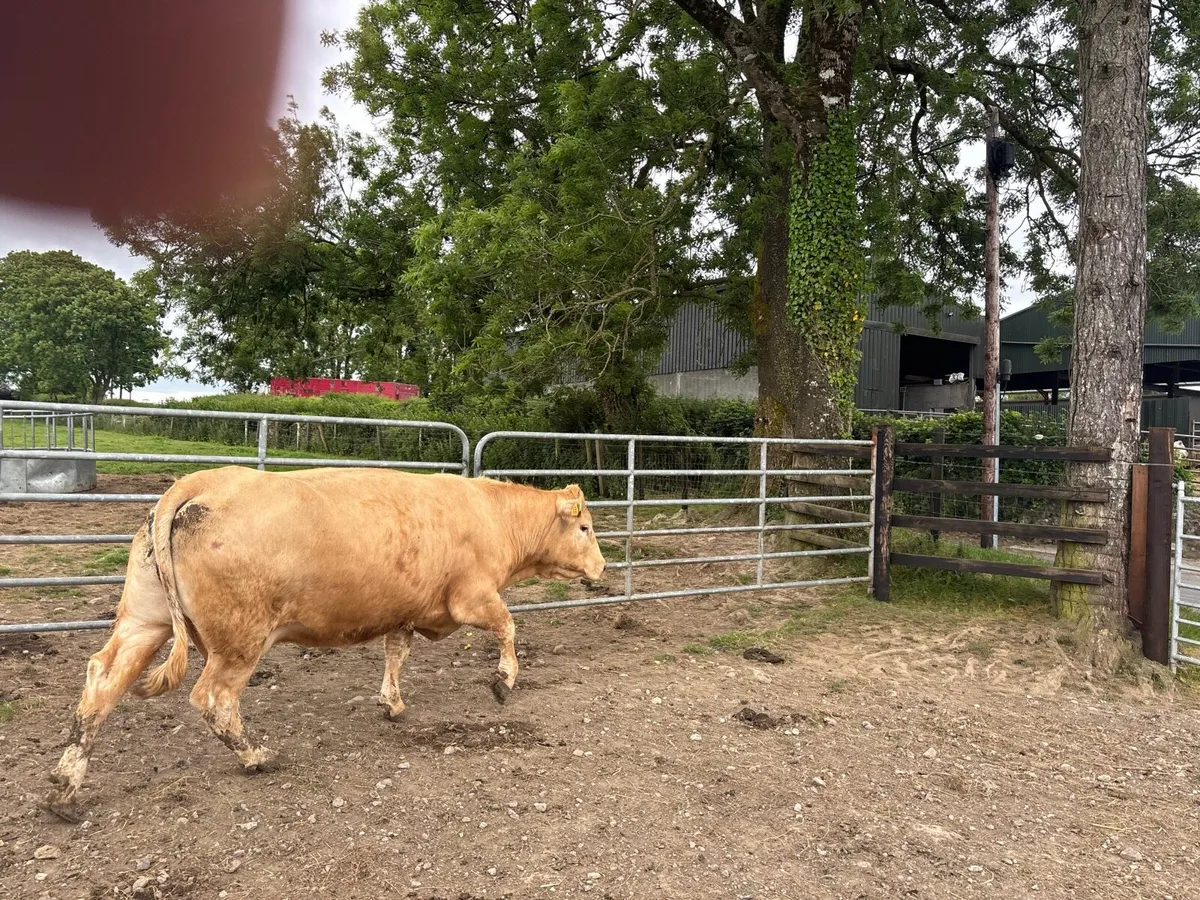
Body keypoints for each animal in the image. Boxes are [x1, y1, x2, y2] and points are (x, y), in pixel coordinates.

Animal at [45, 467, 606, 820]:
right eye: (583, 526)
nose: (602, 567)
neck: (490, 516)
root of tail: (195, 484)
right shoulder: (473, 596)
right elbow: (509, 627)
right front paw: (503, 680)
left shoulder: (404, 610)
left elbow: (395, 653)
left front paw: (392, 703)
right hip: (239, 640)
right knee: (213, 698)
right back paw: (256, 756)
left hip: (145, 620)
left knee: (101, 683)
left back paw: (65, 789)